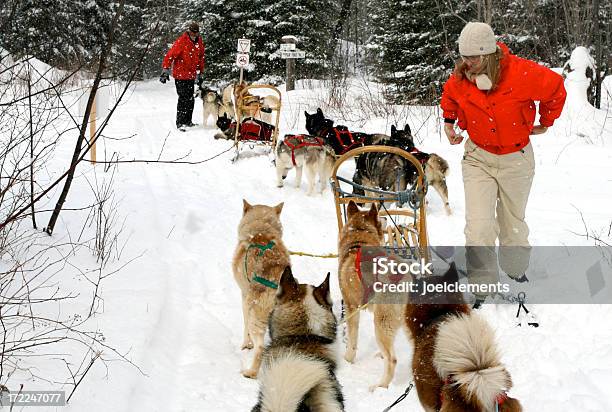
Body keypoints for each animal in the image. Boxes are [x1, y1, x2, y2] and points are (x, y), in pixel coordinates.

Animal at [234, 201, 292, 378]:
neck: (261, 231)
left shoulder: (244, 296)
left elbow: (245, 326)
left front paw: (246, 344)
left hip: (257, 317)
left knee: (260, 348)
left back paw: (251, 372)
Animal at [334, 201, 406, 392]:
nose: (384, 217)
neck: (359, 241)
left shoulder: (351, 307)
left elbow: (352, 340)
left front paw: (347, 360)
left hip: (381, 323)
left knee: (392, 359)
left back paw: (380, 386)